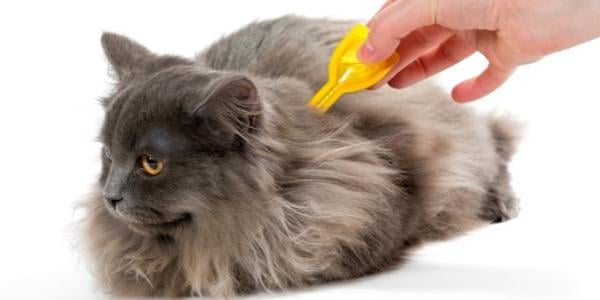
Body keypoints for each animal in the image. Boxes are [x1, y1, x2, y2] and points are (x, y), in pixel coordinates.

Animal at [79, 15, 520, 298]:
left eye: (151, 164)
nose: (111, 197)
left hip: (464, 142)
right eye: (109, 155)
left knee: (495, 138)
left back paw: (503, 204)